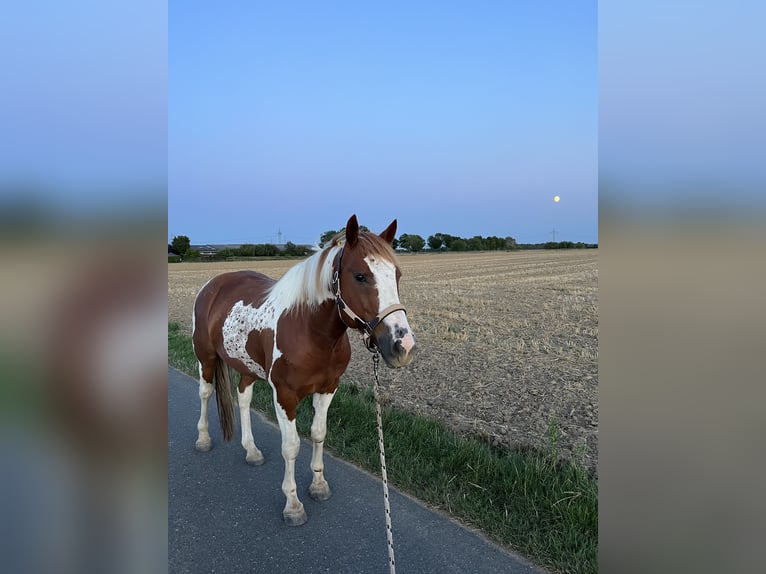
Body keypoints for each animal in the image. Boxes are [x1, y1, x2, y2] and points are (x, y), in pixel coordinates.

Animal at [192, 215, 420, 528]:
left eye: (396, 274)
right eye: (360, 276)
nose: (403, 345)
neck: (309, 329)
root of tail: (212, 285)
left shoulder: (328, 388)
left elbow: (318, 433)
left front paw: (319, 485)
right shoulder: (284, 395)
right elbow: (291, 446)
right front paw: (293, 505)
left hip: (247, 366)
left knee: (243, 399)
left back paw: (251, 451)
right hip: (206, 357)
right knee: (204, 392)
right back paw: (203, 439)